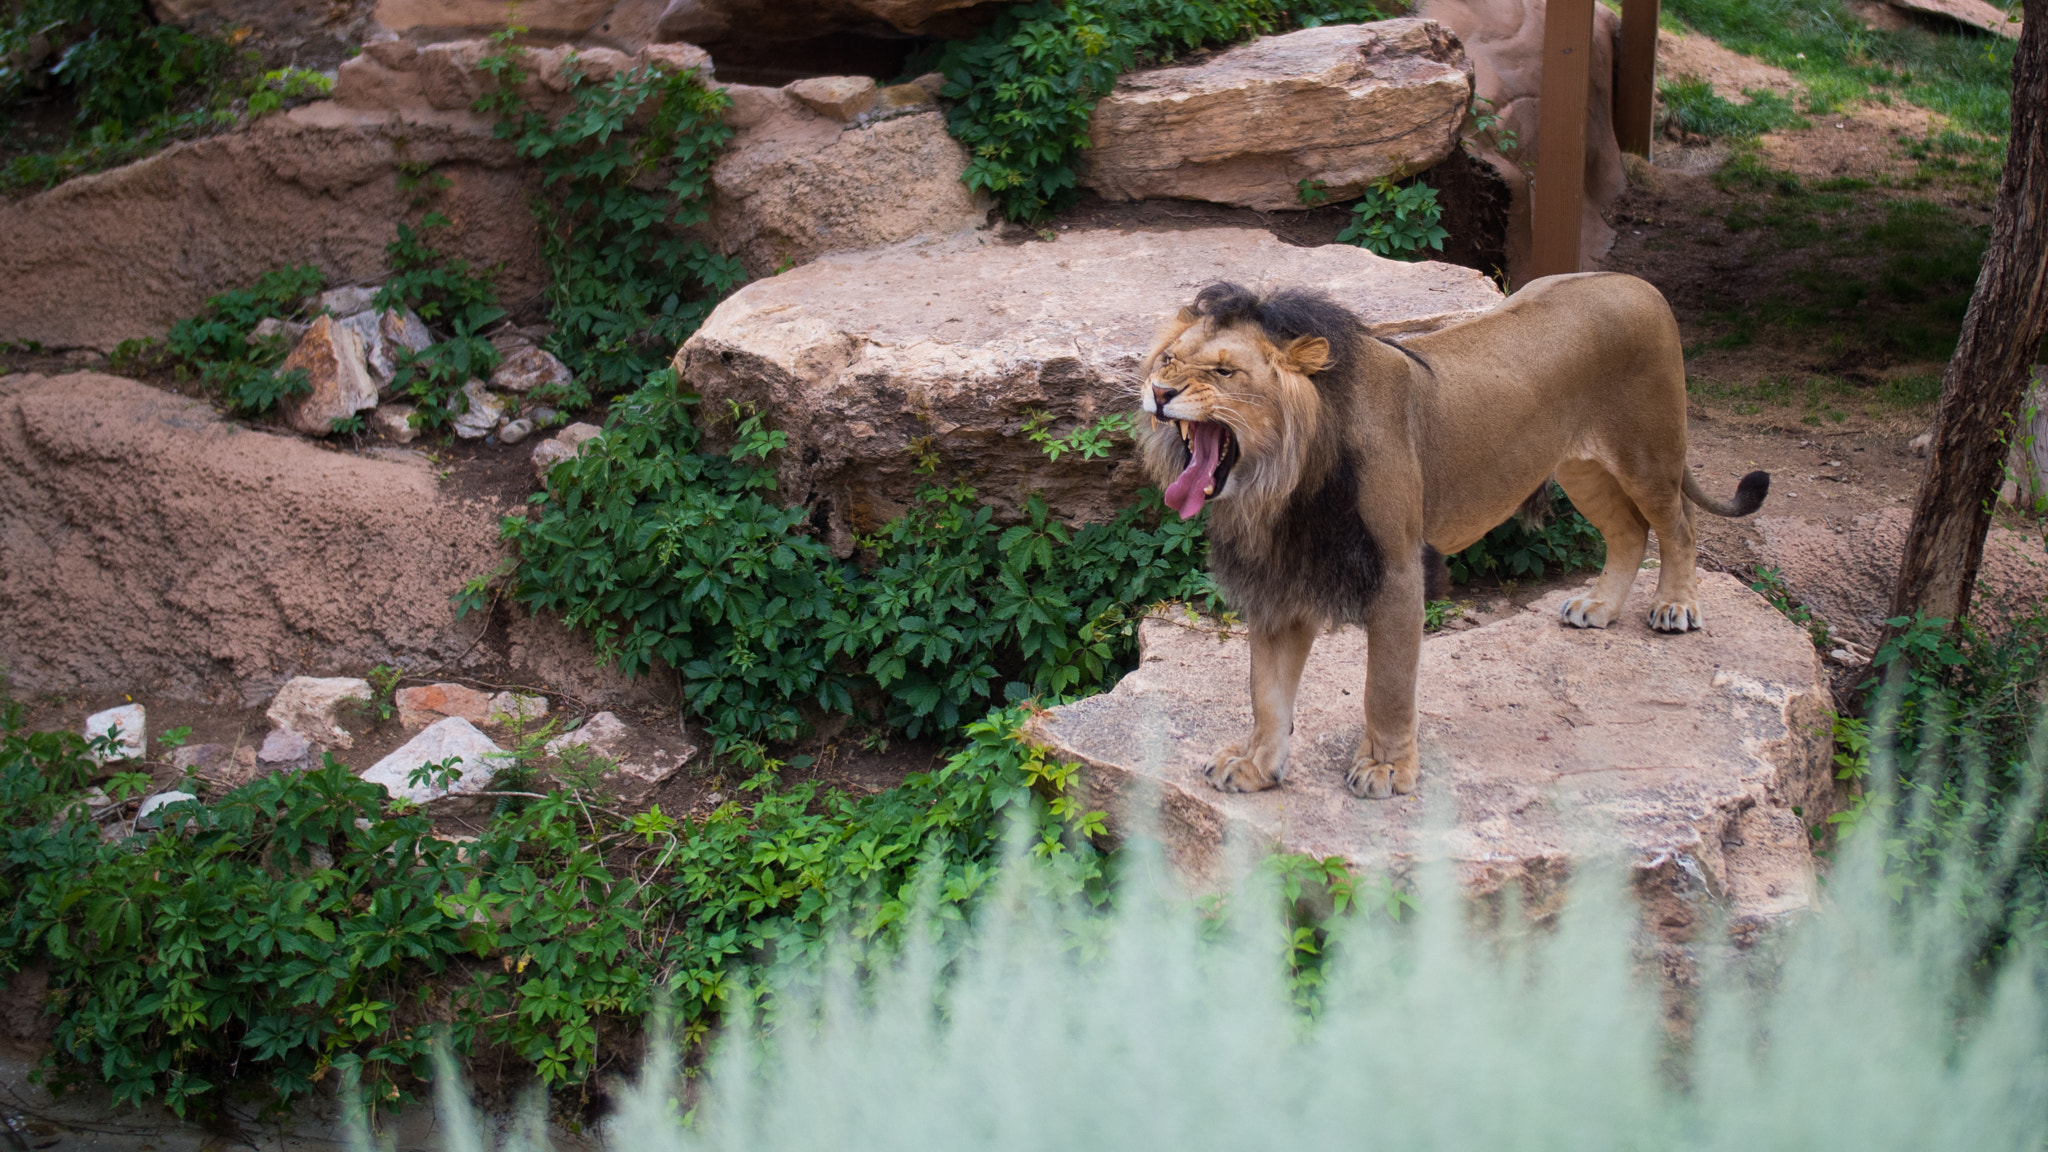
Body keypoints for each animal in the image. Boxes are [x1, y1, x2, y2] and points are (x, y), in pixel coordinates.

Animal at [1137, 273, 1769, 800]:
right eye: (1168, 358)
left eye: (1224, 372)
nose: (1160, 392)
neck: (1282, 484)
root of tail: (1640, 282)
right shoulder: (1283, 578)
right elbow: (1266, 691)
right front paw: (1256, 765)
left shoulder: (1397, 571)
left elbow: (1387, 686)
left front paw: (1387, 768)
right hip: (1579, 466)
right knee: (1629, 530)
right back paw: (1600, 607)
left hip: (1649, 454)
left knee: (1679, 524)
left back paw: (1676, 606)